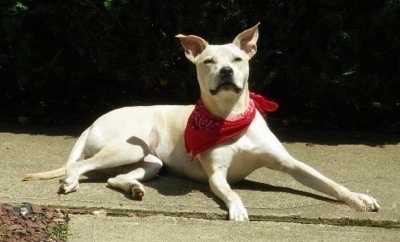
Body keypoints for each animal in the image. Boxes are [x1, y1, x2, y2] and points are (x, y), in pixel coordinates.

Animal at [23, 23, 380, 221]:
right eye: (208, 61)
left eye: (238, 58)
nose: (226, 71)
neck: (229, 117)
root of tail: (93, 121)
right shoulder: (217, 176)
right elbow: (230, 192)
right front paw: (238, 209)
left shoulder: (290, 163)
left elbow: (329, 182)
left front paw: (358, 198)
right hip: (128, 148)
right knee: (79, 166)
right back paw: (71, 181)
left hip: (149, 161)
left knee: (115, 178)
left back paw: (134, 188)